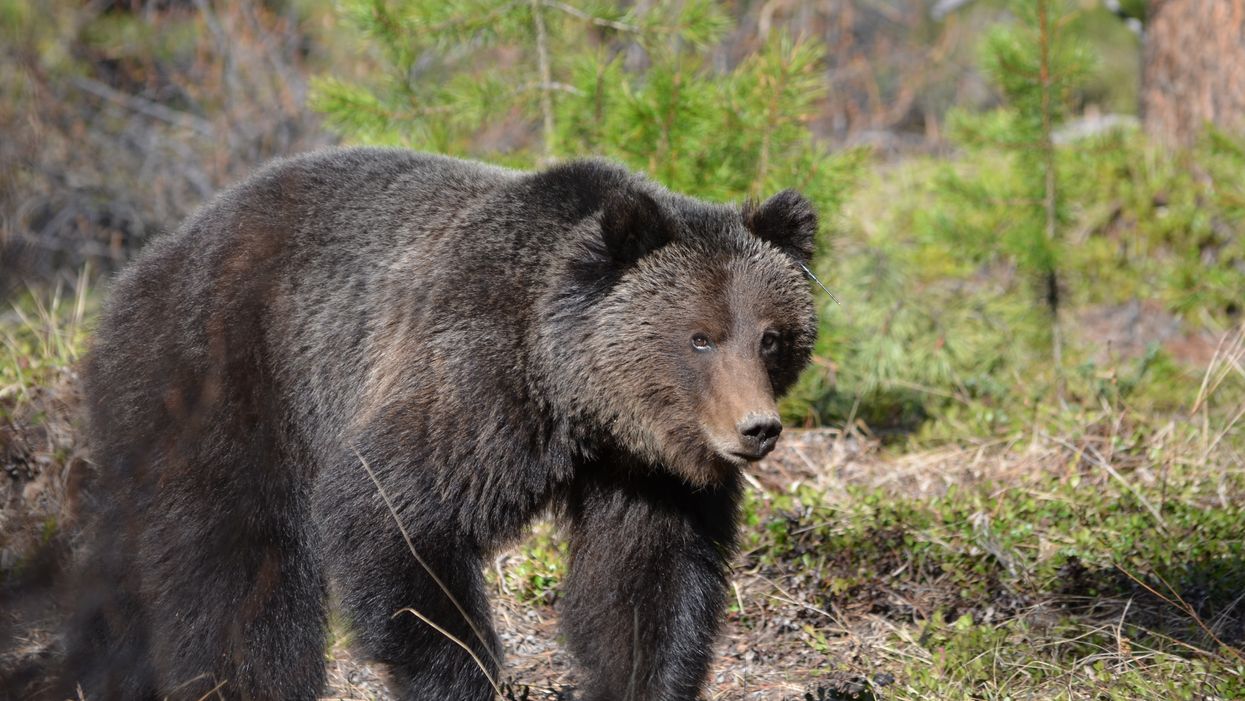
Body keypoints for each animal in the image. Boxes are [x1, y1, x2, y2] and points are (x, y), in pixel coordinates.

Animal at [63, 147, 818, 700]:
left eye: (772, 337)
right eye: (700, 337)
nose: (756, 428)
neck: (577, 398)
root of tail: (143, 266)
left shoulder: (647, 472)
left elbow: (646, 582)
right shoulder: (475, 387)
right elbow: (392, 516)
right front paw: (461, 673)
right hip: (228, 381)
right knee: (236, 570)